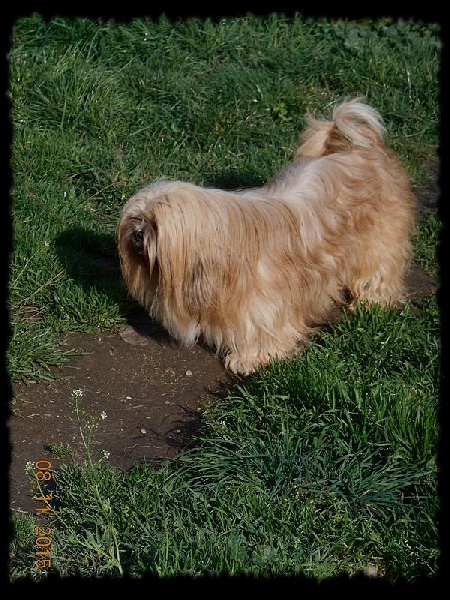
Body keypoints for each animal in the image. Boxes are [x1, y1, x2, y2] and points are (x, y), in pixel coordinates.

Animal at [118, 99, 416, 376]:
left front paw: (250, 358)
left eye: (154, 225)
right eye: (136, 219)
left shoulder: (265, 302)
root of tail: (362, 148)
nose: (137, 234)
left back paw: (372, 302)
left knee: (378, 271)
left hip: (380, 242)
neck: (222, 243)